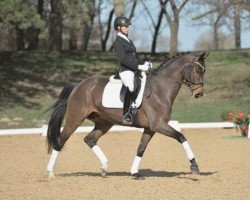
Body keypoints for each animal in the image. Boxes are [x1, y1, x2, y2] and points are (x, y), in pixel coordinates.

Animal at [46, 51, 208, 178]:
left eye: (204, 70)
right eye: (198, 70)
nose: (199, 93)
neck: (160, 89)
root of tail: (78, 85)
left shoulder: (150, 128)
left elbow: (141, 148)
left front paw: (134, 172)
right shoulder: (159, 125)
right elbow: (181, 137)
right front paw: (194, 166)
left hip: (104, 122)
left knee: (90, 139)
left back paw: (104, 167)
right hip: (75, 119)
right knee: (60, 141)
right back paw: (50, 173)